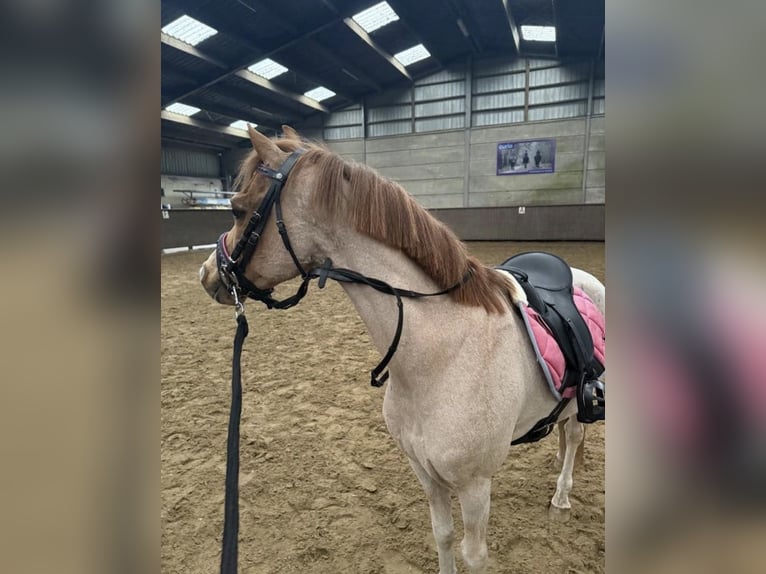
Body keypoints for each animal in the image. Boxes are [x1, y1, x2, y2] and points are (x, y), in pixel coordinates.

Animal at [199, 125, 605, 574]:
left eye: (237, 209)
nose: (207, 273)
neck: (440, 358)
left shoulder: (475, 485)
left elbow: (474, 556)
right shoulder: (425, 471)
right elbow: (443, 536)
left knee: (574, 436)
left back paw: (562, 497)